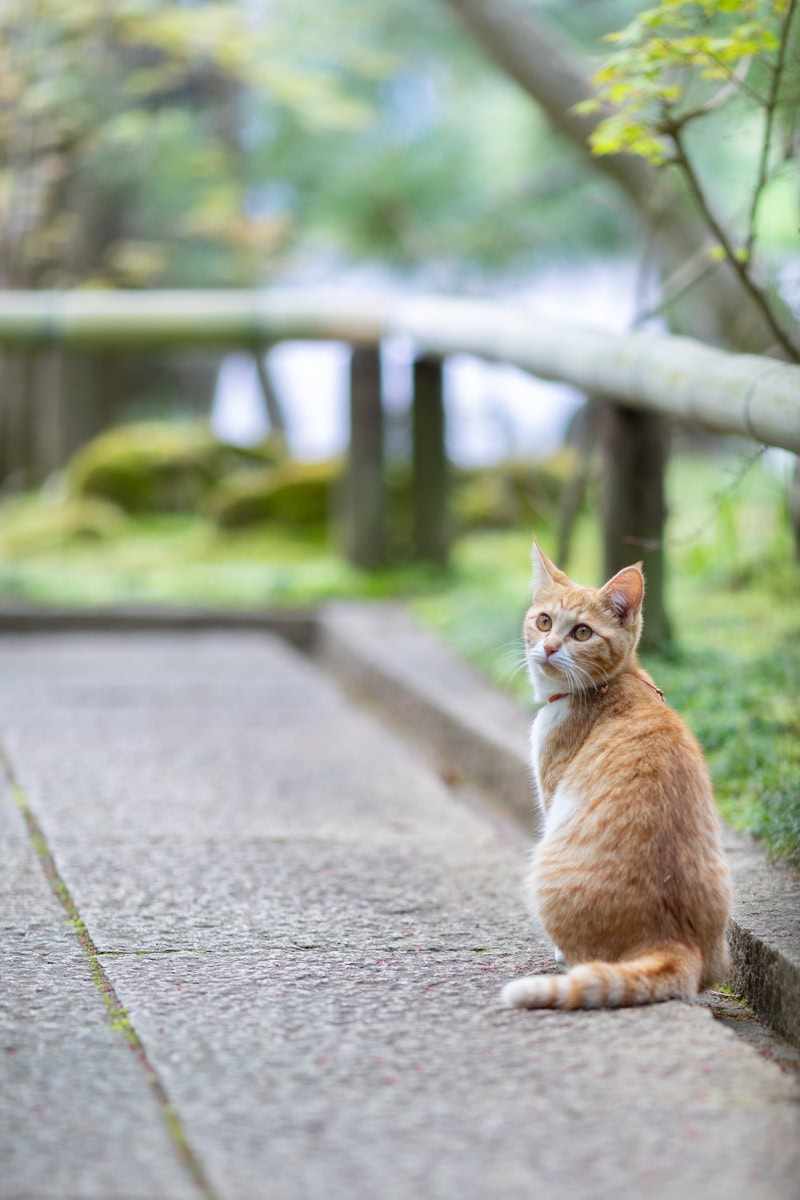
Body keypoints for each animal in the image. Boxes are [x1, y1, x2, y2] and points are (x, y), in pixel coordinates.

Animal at [503, 549, 734, 1008]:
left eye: (582, 632)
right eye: (544, 622)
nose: (549, 648)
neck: (609, 684)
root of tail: (671, 942)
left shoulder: (551, 795)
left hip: (545, 863)